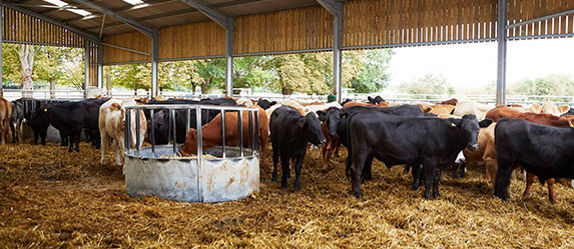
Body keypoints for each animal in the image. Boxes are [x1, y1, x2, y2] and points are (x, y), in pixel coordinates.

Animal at [348, 114, 484, 199]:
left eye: (478, 129)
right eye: (464, 129)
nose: (473, 146)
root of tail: (357, 115)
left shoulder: (439, 163)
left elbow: (436, 179)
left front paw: (437, 194)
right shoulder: (429, 160)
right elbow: (428, 179)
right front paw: (428, 197)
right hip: (361, 151)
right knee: (356, 169)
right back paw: (357, 194)